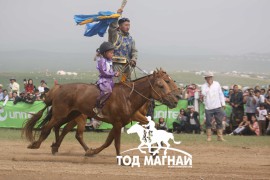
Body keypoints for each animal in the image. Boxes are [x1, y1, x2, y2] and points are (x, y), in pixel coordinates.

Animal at [23, 69, 179, 157]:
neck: (128, 96)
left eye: (169, 81)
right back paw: (36, 145)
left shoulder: (119, 122)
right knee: (49, 128)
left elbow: (109, 141)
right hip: (64, 115)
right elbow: (115, 142)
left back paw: (56, 147)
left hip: (71, 115)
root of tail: (58, 88)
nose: (176, 99)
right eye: (162, 84)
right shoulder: (119, 122)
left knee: (60, 128)